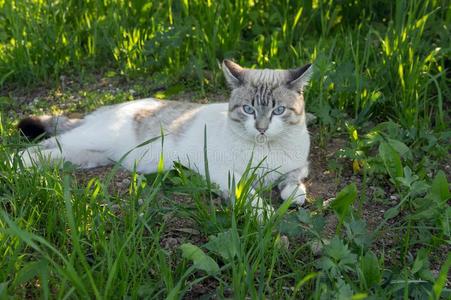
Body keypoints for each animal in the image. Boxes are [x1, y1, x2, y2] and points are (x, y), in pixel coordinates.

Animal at [18, 59, 314, 219]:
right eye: (249, 109)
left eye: (278, 110)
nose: (262, 128)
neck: (267, 150)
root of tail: (104, 109)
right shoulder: (224, 172)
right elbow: (249, 195)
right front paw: (265, 214)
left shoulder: (299, 163)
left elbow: (294, 177)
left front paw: (293, 193)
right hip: (84, 140)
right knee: (31, 150)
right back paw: (14, 169)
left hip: (84, 157)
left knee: (45, 155)